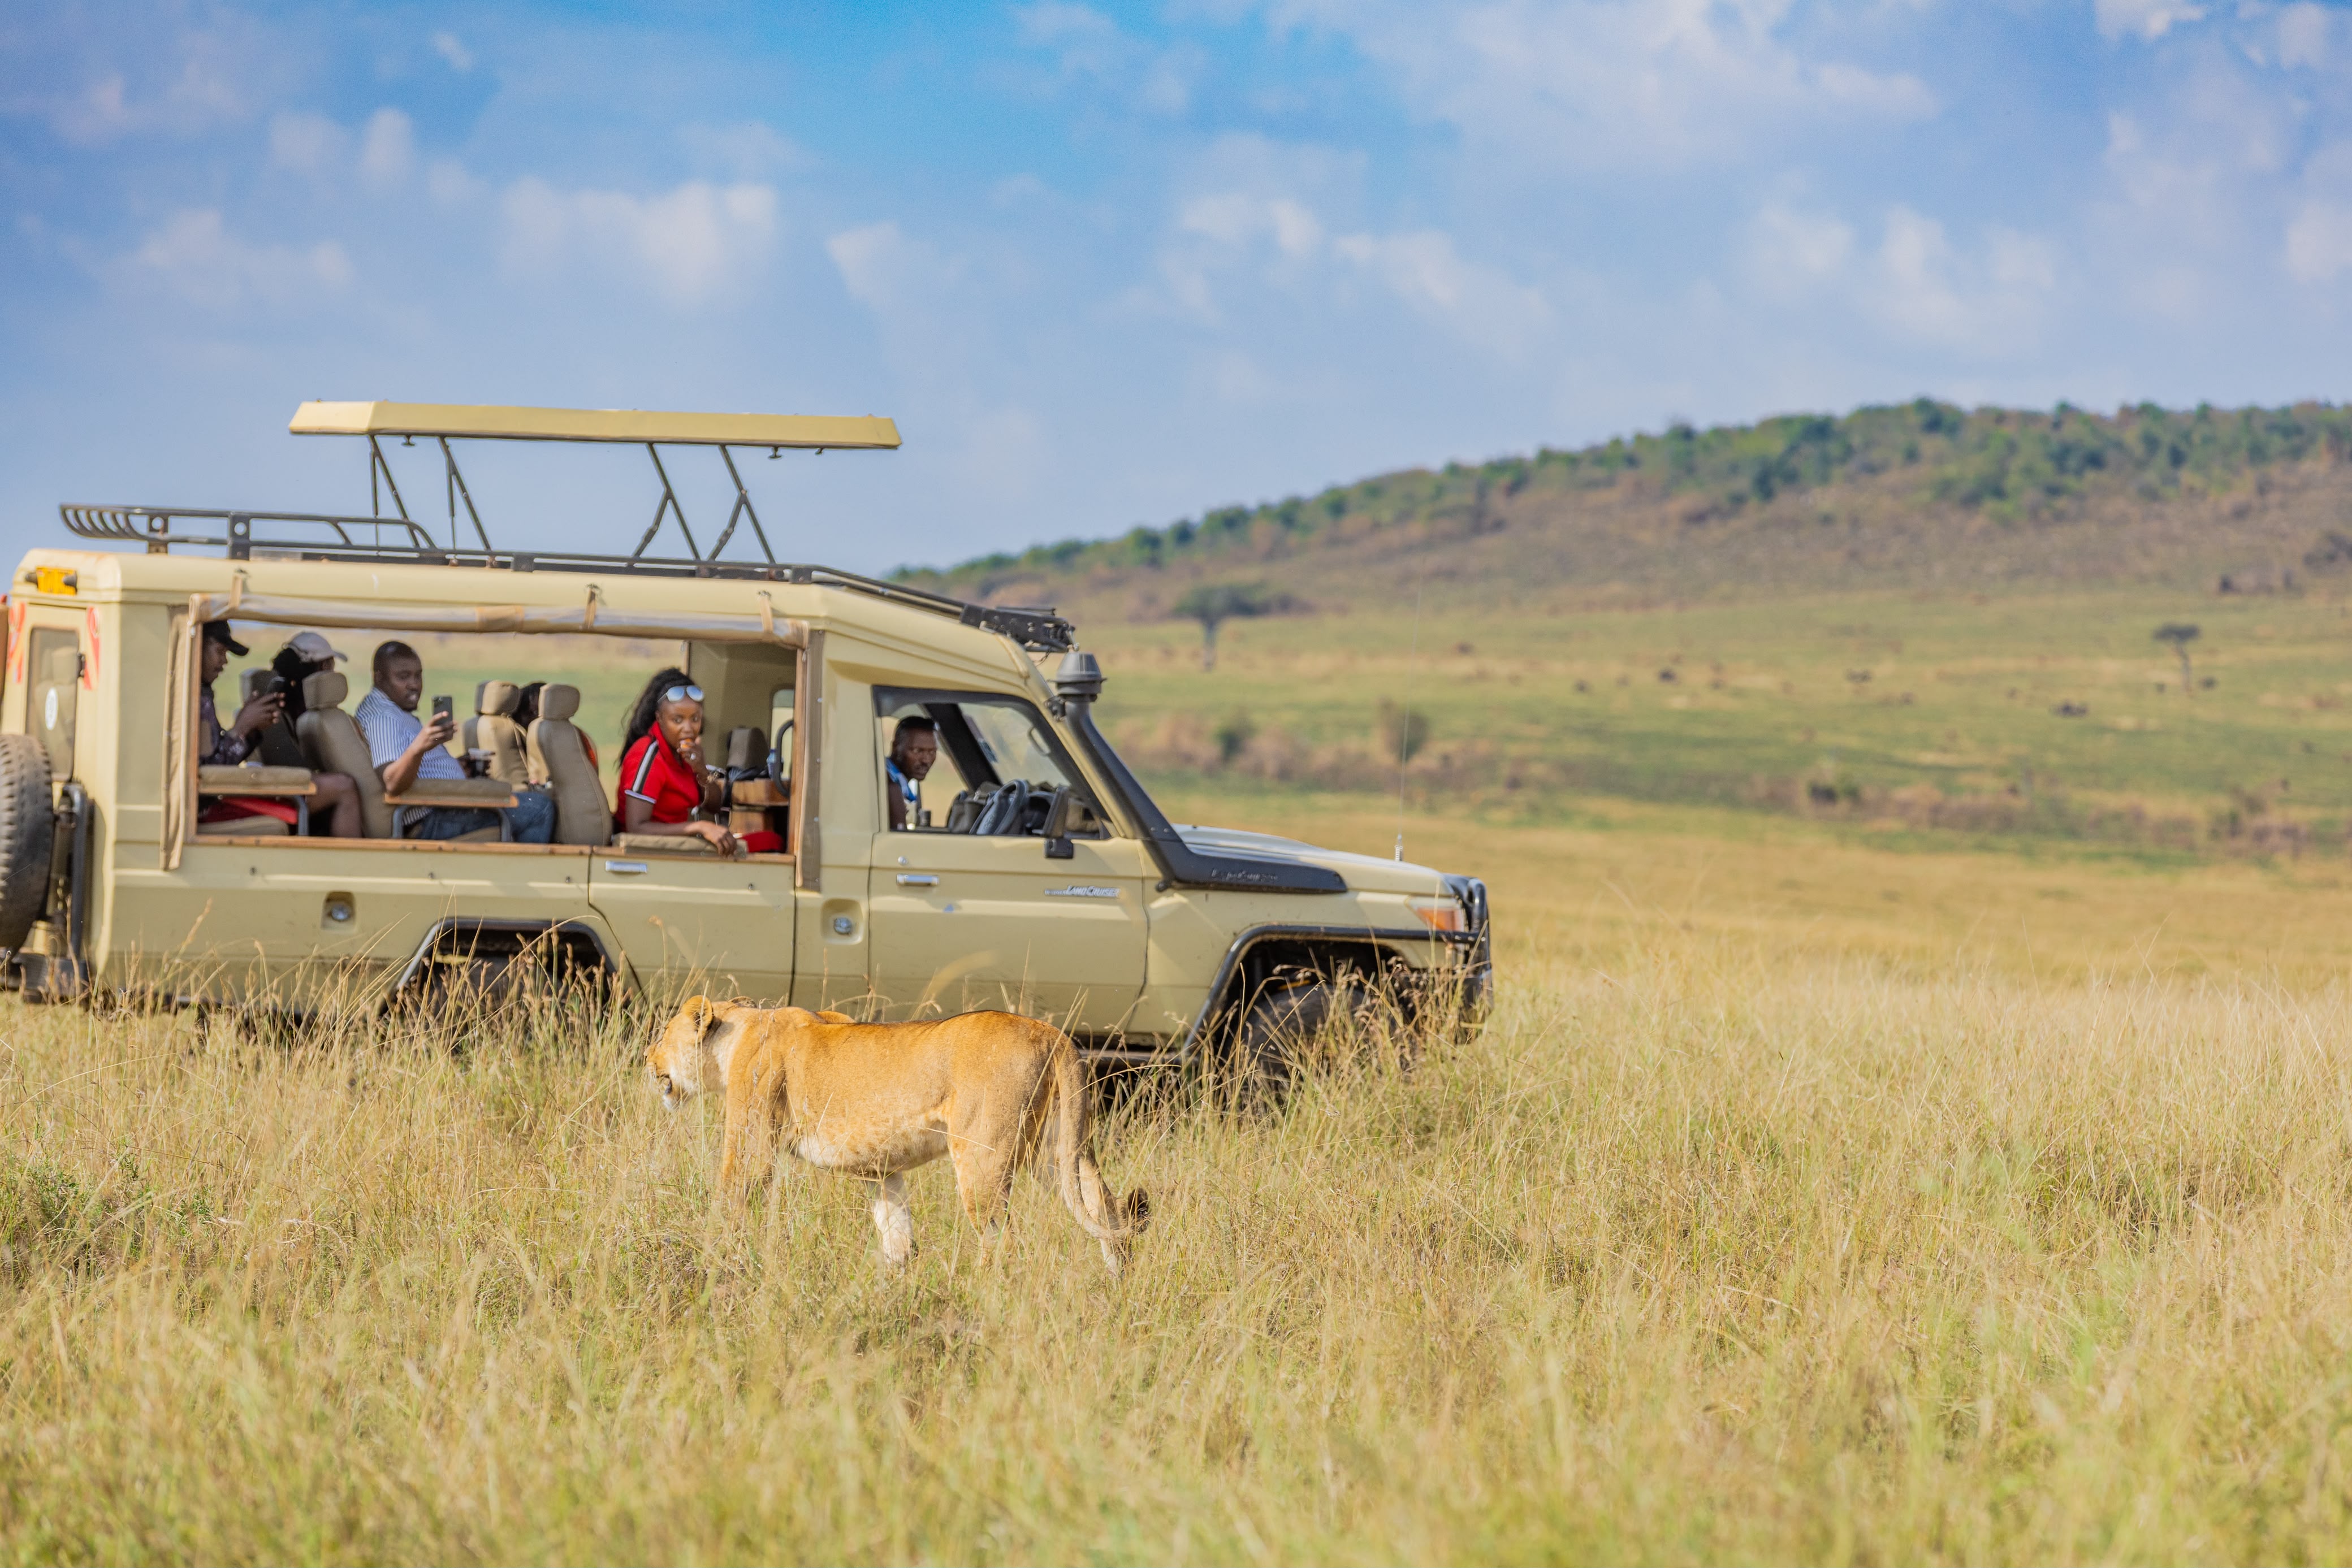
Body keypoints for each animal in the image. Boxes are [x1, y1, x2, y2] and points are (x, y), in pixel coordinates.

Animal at [647, 997, 1150, 1273]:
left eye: (664, 1033)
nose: (647, 1058)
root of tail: (1054, 1034)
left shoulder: (751, 1142)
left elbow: (729, 1197)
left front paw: (709, 1258)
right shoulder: (882, 1170)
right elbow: (898, 1238)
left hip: (983, 1156)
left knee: (999, 1237)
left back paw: (977, 1294)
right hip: (1058, 1151)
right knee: (1107, 1208)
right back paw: (1117, 1286)